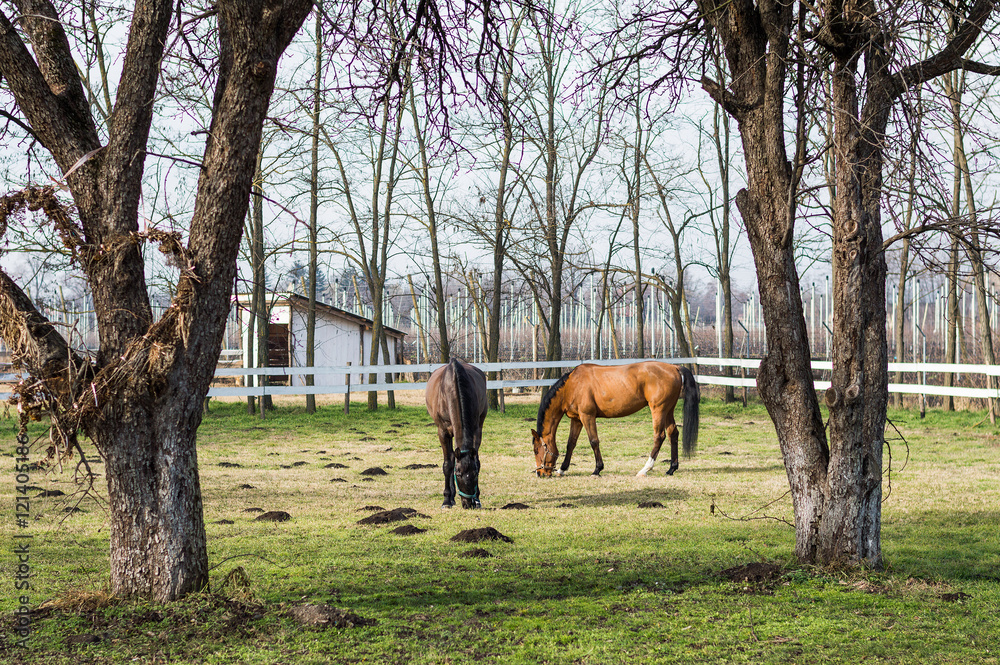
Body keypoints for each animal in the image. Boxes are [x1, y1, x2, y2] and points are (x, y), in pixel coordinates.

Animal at [424, 358, 486, 508]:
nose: (468, 503)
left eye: (475, 474)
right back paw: (451, 497)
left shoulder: (476, 430)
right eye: (458, 474)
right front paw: (447, 500)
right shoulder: (443, 432)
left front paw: (477, 498)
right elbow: (448, 465)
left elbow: (477, 461)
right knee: (451, 458)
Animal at [532, 364, 696, 478]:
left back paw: (645, 469)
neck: (573, 385)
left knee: (659, 436)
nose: (540, 473)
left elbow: (594, 441)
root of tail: (674, 367)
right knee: (673, 434)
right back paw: (671, 468)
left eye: (536, 450)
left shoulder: (587, 416)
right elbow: (571, 443)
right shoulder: (577, 419)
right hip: (668, 410)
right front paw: (562, 469)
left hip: (658, 410)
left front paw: (597, 469)